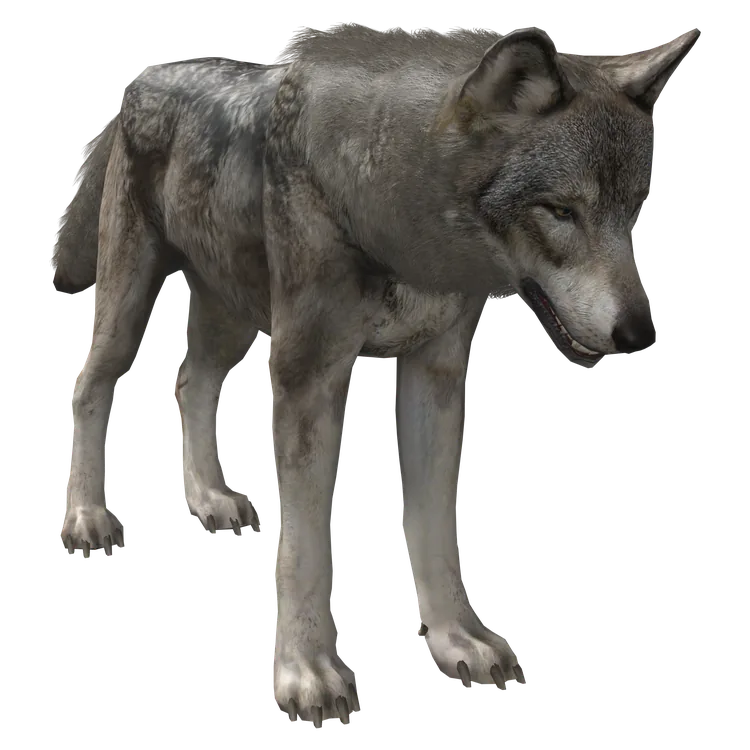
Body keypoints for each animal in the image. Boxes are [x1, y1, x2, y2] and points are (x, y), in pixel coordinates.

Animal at [51, 23, 703, 727]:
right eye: (560, 211)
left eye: (634, 212)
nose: (639, 335)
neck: (388, 206)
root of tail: (148, 74)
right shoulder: (307, 376)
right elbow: (305, 544)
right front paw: (308, 677)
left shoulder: (435, 375)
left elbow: (435, 530)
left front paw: (457, 641)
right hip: (132, 306)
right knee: (87, 385)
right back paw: (87, 519)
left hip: (234, 316)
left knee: (188, 381)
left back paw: (207, 499)